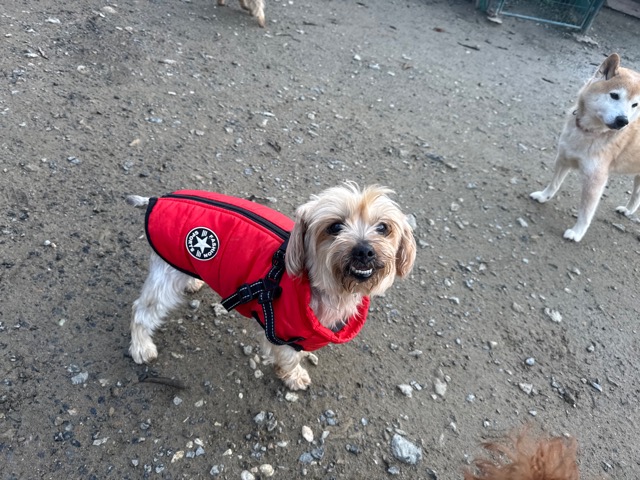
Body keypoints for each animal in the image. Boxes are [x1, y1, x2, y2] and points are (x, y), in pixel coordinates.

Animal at [127, 183, 416, 390]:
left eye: (383, 227)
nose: (364, 250)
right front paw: (294, 376)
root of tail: (159, 199)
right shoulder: (281, 332)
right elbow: (288, 358)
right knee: (142, 310)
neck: (330, 289)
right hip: (165, 276)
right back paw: (142, 347)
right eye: (335, 227)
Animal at [530, 53, 640, 242]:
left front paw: (577, 233)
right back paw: (627, 210)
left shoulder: (594, 180)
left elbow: (585, 212)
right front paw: (544, 196)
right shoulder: (564, 158)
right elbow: (554, 184)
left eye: (635, 105)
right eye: (614, 96)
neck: (589, 132)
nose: (623, 121)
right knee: (637, 195)